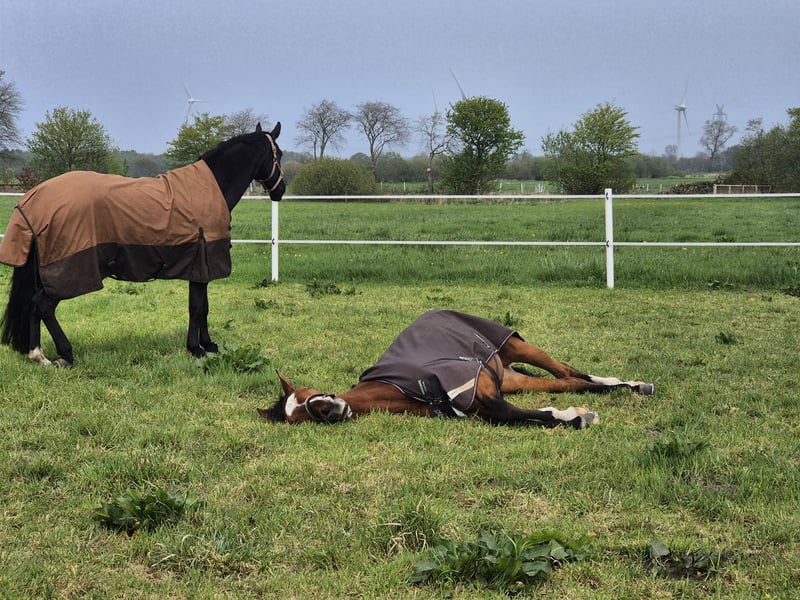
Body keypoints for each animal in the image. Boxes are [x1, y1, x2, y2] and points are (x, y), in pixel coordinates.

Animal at [0, 123, 285, 367]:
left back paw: (38, 355)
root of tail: (35, 200)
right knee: (43, 305)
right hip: (67, 272)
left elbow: (203, 307)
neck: (211, 188)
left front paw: (208, 345)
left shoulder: (201, 267)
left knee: (34, 305)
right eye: (279, 155)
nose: (281, 191)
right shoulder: (201, 263)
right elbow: (197, 307)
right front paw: (197, 348)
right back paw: (63, 355)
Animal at [258, 310, 654, 429]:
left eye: (307, 394)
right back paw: (628, 386)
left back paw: (632, 384)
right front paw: (575, 415)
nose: (328, 408)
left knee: (568, 371)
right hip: (511, 376)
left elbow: (516, 414)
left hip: (519, 346)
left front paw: (575, 417)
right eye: (296, 417)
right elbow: (516, 415)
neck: (402, 388)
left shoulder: (483, 394)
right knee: (568, 380)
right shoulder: (483, 402)